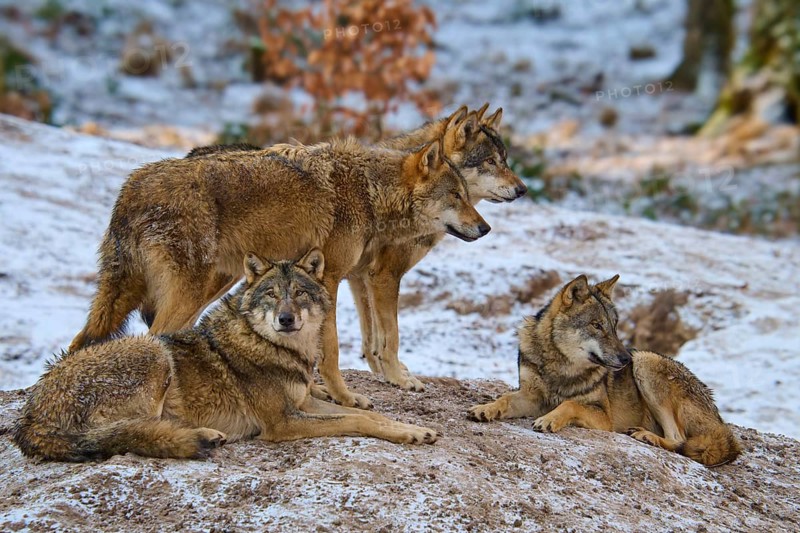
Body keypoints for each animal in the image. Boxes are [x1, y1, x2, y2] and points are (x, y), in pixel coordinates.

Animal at [15, 250, 437, 462]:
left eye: (299, 293)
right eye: (271, 294)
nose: (286, 319)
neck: (274, 346)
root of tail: (30, 416)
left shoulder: (302, 402)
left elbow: (370, 415)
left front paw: (413, 429)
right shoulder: (282, 422)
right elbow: (355, 421)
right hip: (154, 353)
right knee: (131, 434)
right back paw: (201, 437)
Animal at [68, 129, 489, 409]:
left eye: (468, 196)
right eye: (456, 196)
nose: (485, 228)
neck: (370, 192)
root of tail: (130, 188)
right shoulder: (330, 278)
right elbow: (331, 351)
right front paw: (345, 397)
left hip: (194, 287)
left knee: (84, 343)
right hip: (190, 290)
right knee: (154, 339)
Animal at [468, 274, 741, 467]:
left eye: (614, 326)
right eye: (596, 325)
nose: (625, 359)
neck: (561, 367)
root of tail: (720, 420)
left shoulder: (604, 417)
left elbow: (570, 404)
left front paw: (549, 419)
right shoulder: (531, 396)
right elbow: (504, 398)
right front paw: (485, 408)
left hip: (646, 361)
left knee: (679, 439)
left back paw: (646, 436)